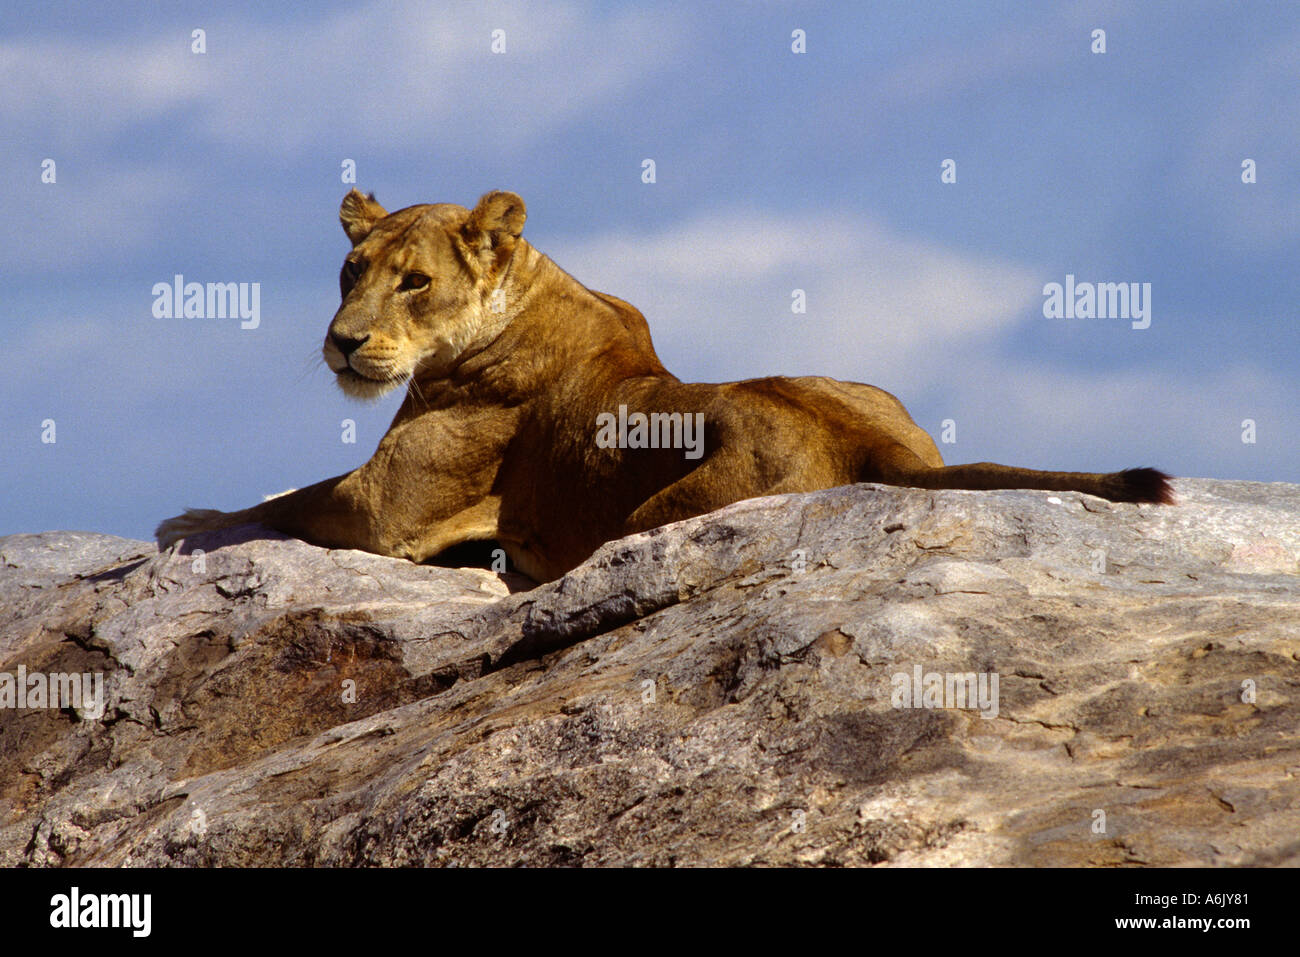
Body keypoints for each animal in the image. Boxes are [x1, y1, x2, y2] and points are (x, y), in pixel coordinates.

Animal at [156, 189, 1174, 582]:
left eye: (413, 281)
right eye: (350, 269)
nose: (342, 343)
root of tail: (870, 444)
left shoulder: (386, 507)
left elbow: (279, 504)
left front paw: (186, 522)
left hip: (648, 517)